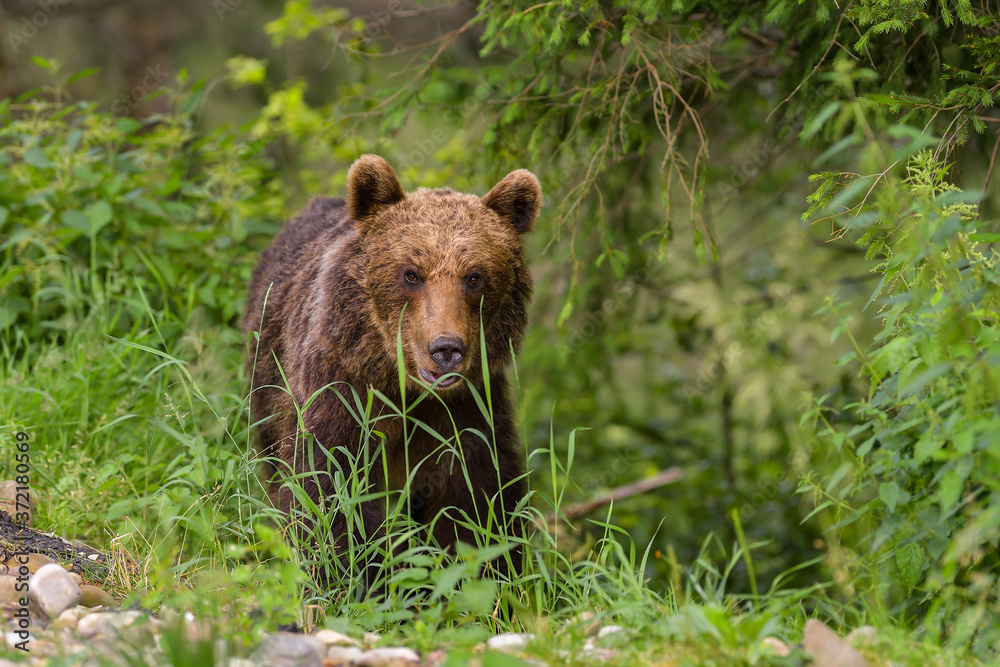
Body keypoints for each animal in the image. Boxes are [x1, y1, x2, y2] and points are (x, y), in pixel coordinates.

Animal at [242, 155, 540, 588]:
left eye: (475, 276)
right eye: (411, 273)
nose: (446, 349)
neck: (404, 386)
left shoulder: (468, 411)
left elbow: (475, 504)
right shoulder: (342, 390)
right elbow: (330, 493)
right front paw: (353, 580)